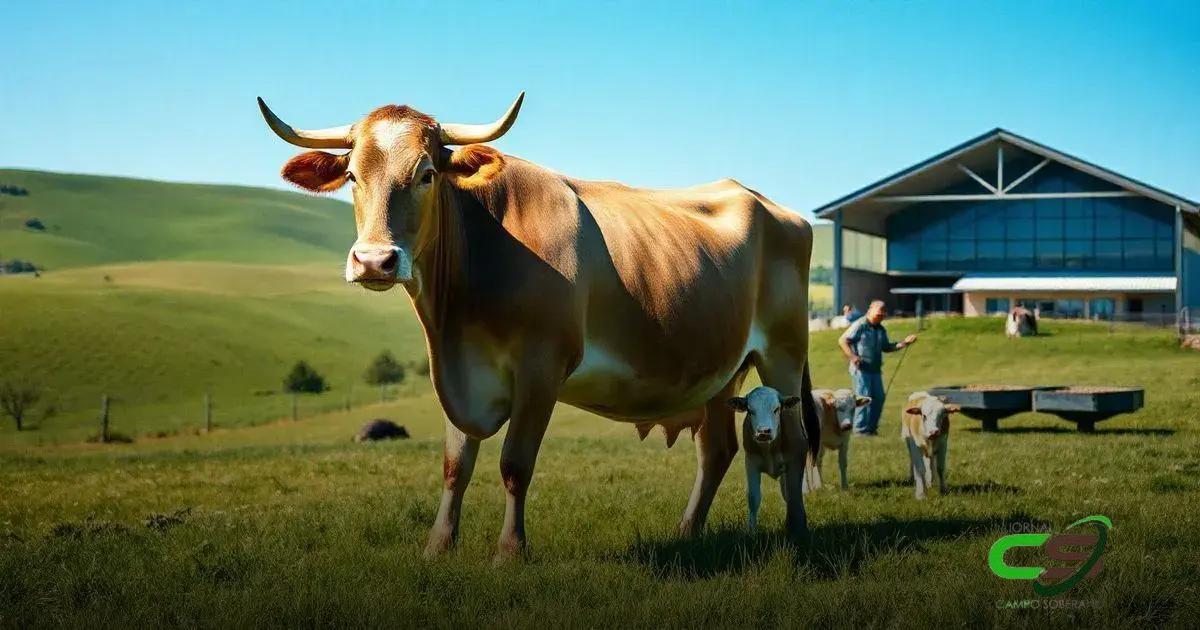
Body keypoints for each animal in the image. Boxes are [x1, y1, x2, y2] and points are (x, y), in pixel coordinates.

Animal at [257, 93, 821, 560]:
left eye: (427, 174)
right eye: (354, 176)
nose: (375, 261)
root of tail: (767, 202)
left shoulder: (541, 370)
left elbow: (514, 464)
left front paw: (510, 551)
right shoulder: (460, 374)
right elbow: (455, 465)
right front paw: (438, 547)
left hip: (783, 353)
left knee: (792, 442)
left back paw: (797, 532)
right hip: (721, 371)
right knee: (716, 450)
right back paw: (688, 532)